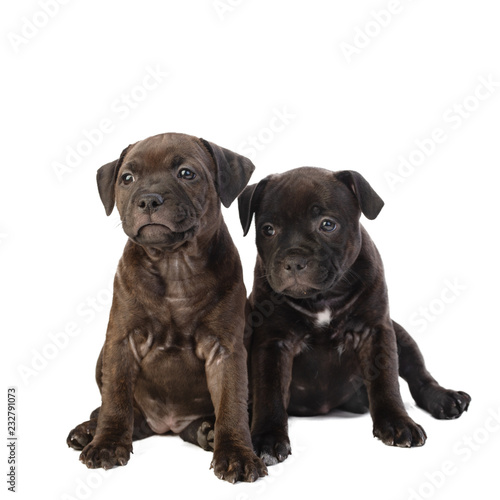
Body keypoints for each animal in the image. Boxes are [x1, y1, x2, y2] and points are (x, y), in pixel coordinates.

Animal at [69, 133, 270, 484]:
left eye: (187, 174)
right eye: (127, 178)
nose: (149, 199)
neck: (174, 262)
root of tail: (165, 425)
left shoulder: (226, 350)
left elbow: (231, 403)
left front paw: (236, 454)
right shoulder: (121, 342)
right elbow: (115, 399)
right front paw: (106, 443)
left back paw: (207, 431)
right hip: (102, 358)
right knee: (120, 412)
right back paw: (89, 430)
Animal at [240, 167, 470, 464]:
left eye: (327, 225)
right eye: (268, 230)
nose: (293, 260)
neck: (322, 297)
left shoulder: (376, 331)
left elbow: (386, 381)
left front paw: (397, 422)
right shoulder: (273, 341)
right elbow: (270, 392)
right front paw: (268, 437)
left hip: (400, 334)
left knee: (418, 375)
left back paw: (445, 398)